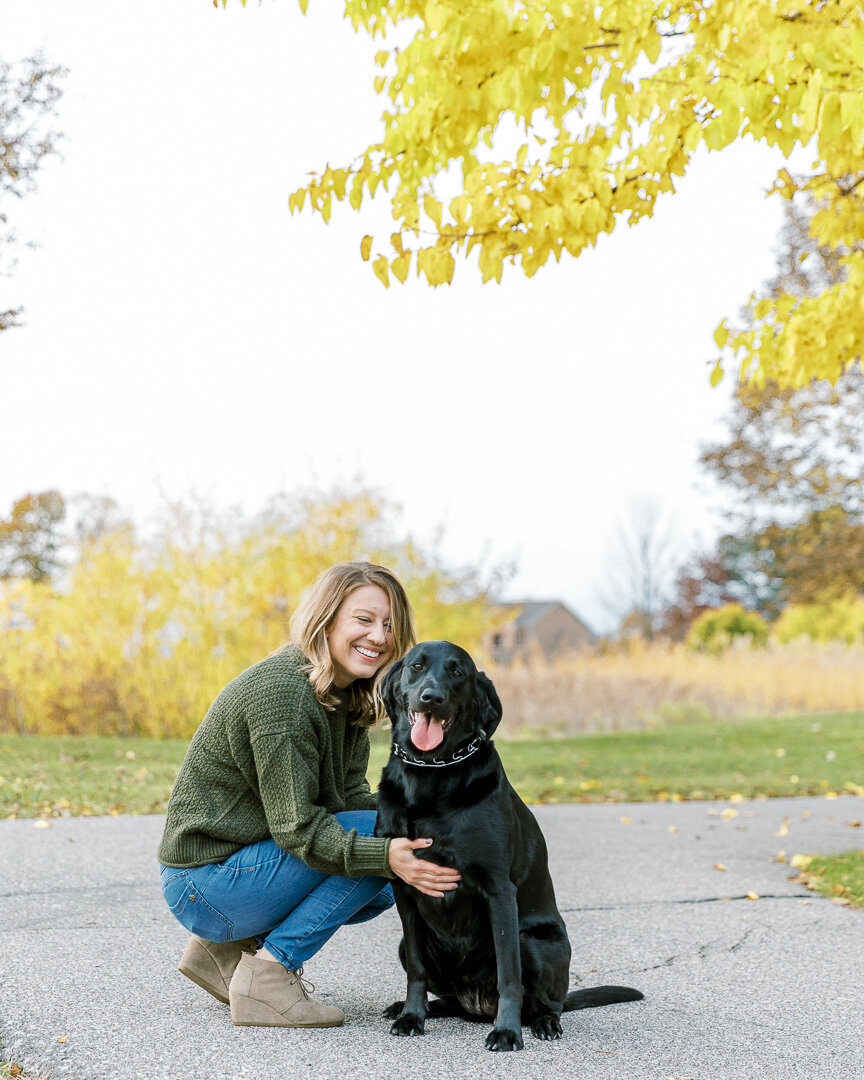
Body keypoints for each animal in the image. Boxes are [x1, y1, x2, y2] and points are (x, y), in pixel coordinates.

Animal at [373, 635, 643, 1049]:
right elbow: (416, 971)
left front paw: (507, 1031)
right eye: (416, 666)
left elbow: (509, 974)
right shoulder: (404, 888)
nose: (431, 698)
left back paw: (543, 1023)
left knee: (549, 1002)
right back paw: (413, 1007)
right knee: (447, 997)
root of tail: (475, 1004)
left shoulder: (499, 891)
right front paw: (412, 1016)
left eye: (457, 672)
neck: (430, 773)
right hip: (411, 948)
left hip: (537, 941)